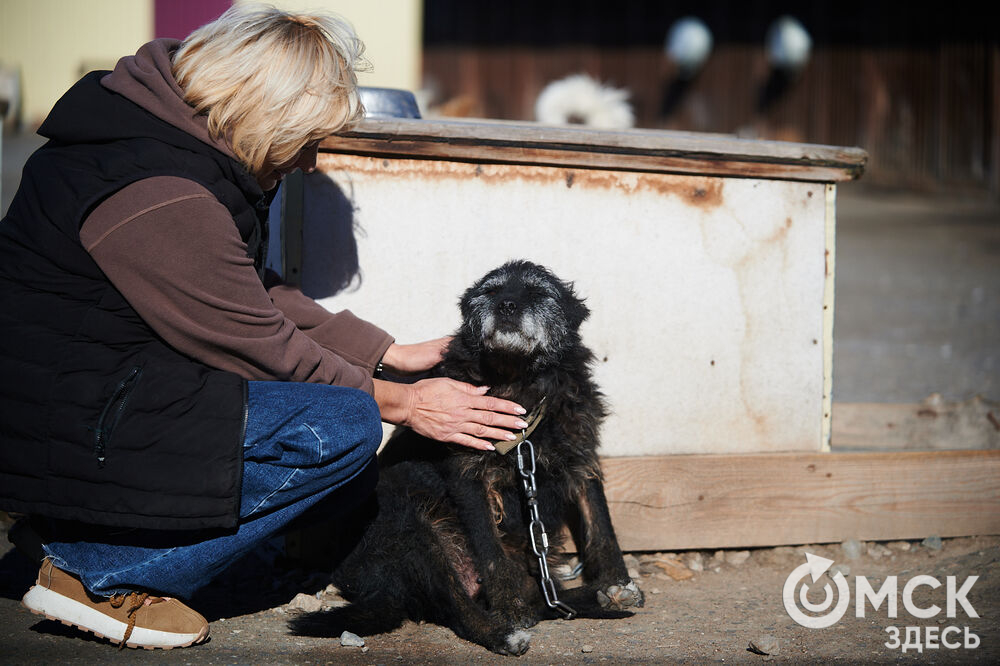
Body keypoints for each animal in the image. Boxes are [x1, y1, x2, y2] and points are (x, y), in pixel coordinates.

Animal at [292, 260, 644, 652]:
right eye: (491, 291)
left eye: (538, 292)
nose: (506, 306)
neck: (518, 382)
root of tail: (378, 587)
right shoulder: (470, 475)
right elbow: (490, 551)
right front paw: (508, 609)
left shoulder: (581, 458)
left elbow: (601, 524)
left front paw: (616, 581)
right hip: (411, 528)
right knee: (454, 603)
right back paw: (501, 633)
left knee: (539, 597)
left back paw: (591, 596)